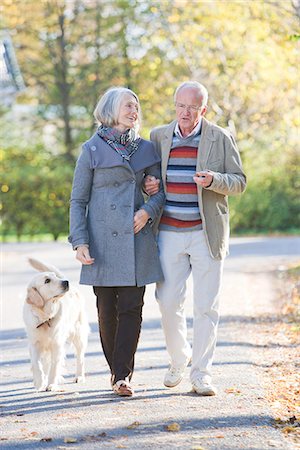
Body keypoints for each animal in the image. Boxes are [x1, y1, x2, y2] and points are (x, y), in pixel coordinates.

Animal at [23, 258, 89, 392]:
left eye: (54, 276)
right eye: (47, 281)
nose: (66, 282)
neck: (45, 318)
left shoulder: (57, 344)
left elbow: (54, 367)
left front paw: (52, 384)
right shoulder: (35, 344)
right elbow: (37, 364)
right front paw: (40, 382)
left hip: (79, 335)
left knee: (80, 358)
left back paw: (79, 376)